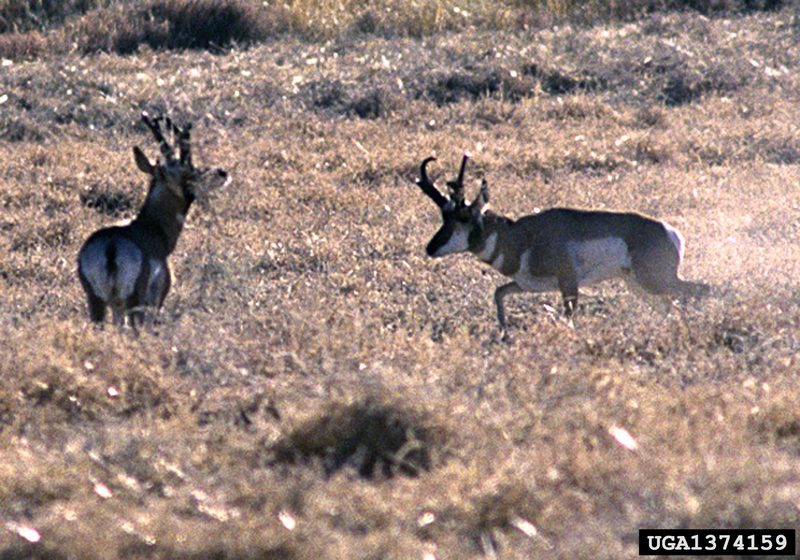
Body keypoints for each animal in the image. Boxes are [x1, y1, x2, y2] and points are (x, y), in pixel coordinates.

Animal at [77, 111, 228, 326]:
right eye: (191, 168)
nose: (222, 173)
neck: (151, 228)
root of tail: (111, 247)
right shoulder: (156, 301)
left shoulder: (115, 307)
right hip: (134, 303)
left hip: (97, 303)